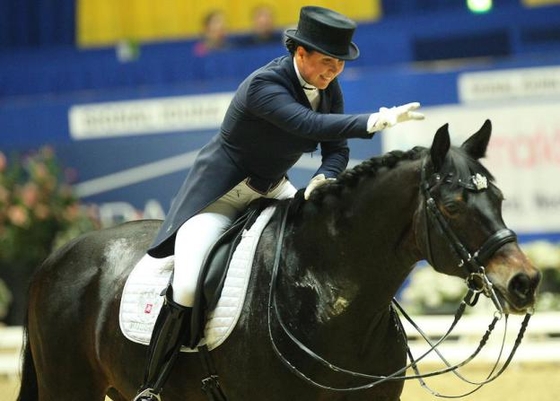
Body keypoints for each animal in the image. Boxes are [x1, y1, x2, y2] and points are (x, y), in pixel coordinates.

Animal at [19, 120, 540, 400]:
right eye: (452, 207)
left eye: (498, 198)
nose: (526, 282)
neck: (326, 293)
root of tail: (55, 258)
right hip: (70, 388)